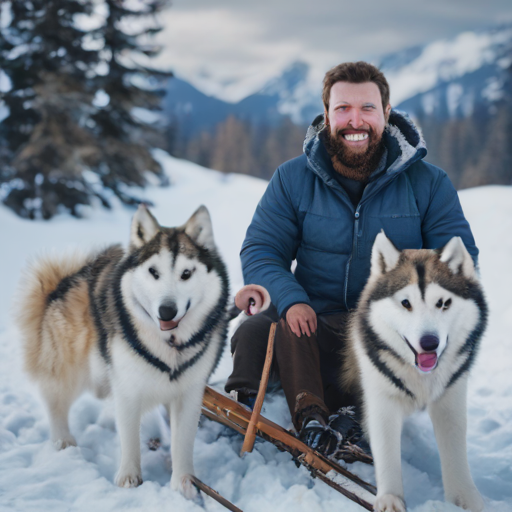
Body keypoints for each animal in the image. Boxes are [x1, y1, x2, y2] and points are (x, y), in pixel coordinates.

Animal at [17, 205, 228, 500]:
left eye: (186, 273)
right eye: (153, 272)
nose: (167, 311)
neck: (169, 347)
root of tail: (62, 283)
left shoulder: (189, 393)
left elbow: (183, 442)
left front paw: (184, 484)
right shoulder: (128, 388)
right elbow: (129, 438)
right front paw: (129, 479)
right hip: (70, 370)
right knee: (56, 402)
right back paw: (63, 441)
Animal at [344, 233, 488, 512]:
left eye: (443, 303)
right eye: (405, 303)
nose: (429, 343)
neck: (420, 375)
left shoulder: (451, 397)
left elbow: (455, 448)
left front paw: (465, 497)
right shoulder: (382, 398)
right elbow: (386, 450)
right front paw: (390, 498)